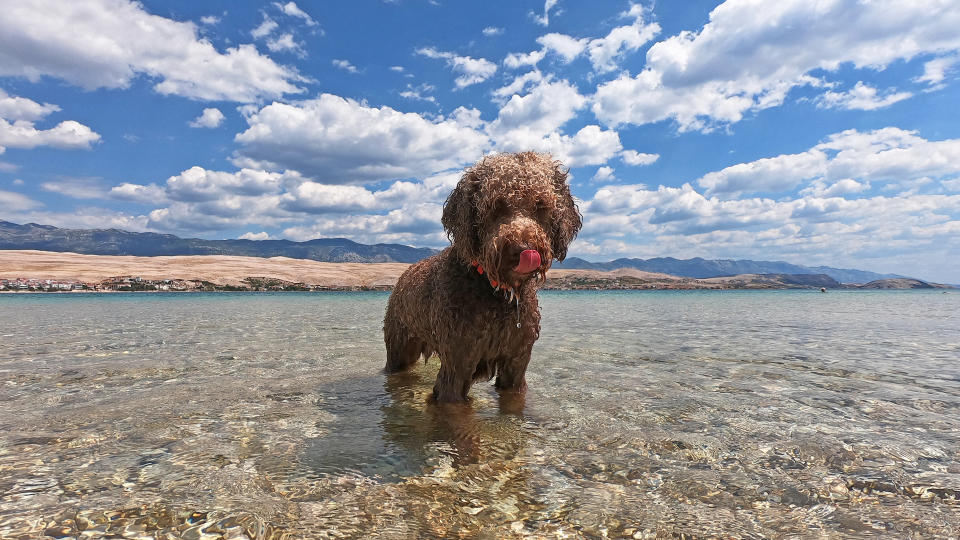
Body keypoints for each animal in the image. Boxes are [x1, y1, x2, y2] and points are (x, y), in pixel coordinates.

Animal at [384, 151, 580, 400]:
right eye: (496, 205)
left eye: (540, 205)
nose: (524, 248)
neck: (498, 293)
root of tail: (404, 275)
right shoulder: (457, 364)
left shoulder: (517, 364)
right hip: (399, 346)